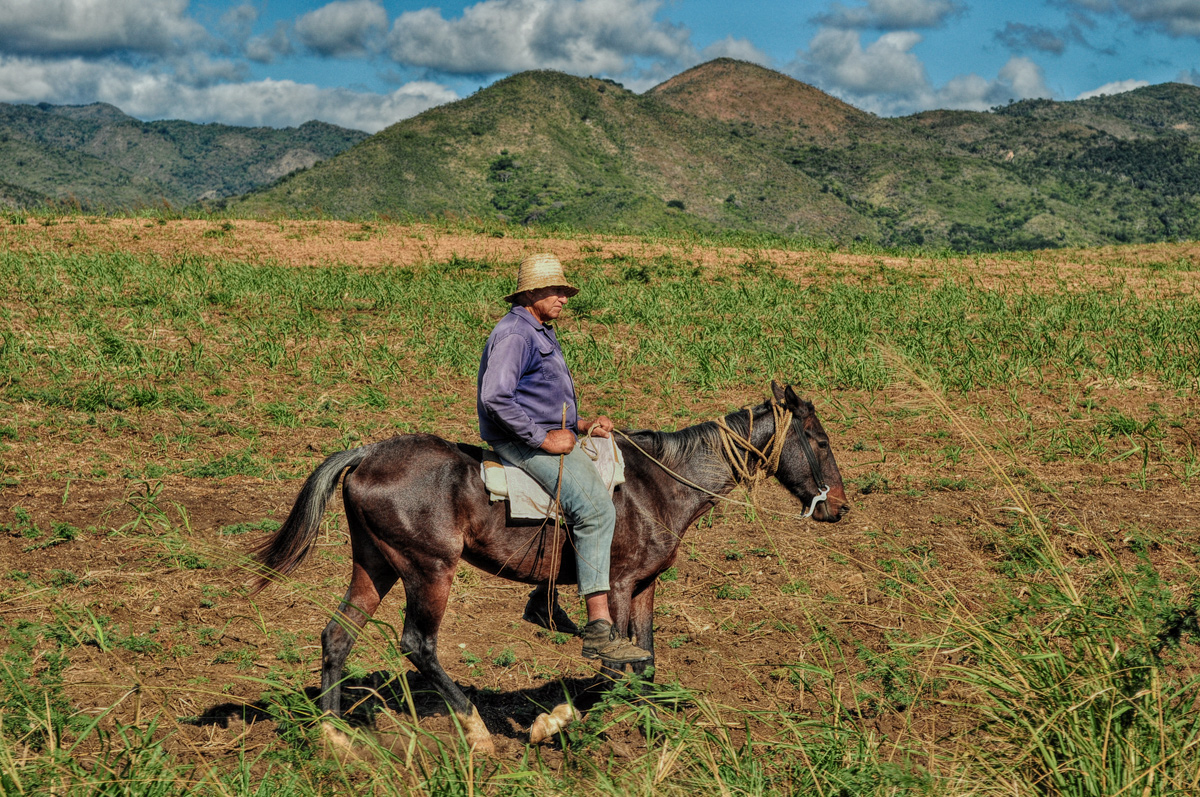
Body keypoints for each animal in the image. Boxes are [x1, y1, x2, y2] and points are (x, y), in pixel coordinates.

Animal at [246, 381, 844, 753]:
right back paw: (475, 731)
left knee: (338, 636)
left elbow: (645, 663)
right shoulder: (617, 584)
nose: (839, 507)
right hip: (429, 569)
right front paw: (553, 723)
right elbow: (613, 666)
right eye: (818, 440)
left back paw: (335, 738)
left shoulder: (646, 585)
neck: (660, 485)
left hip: (377, 565)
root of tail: (366, 454)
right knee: (418, 644)